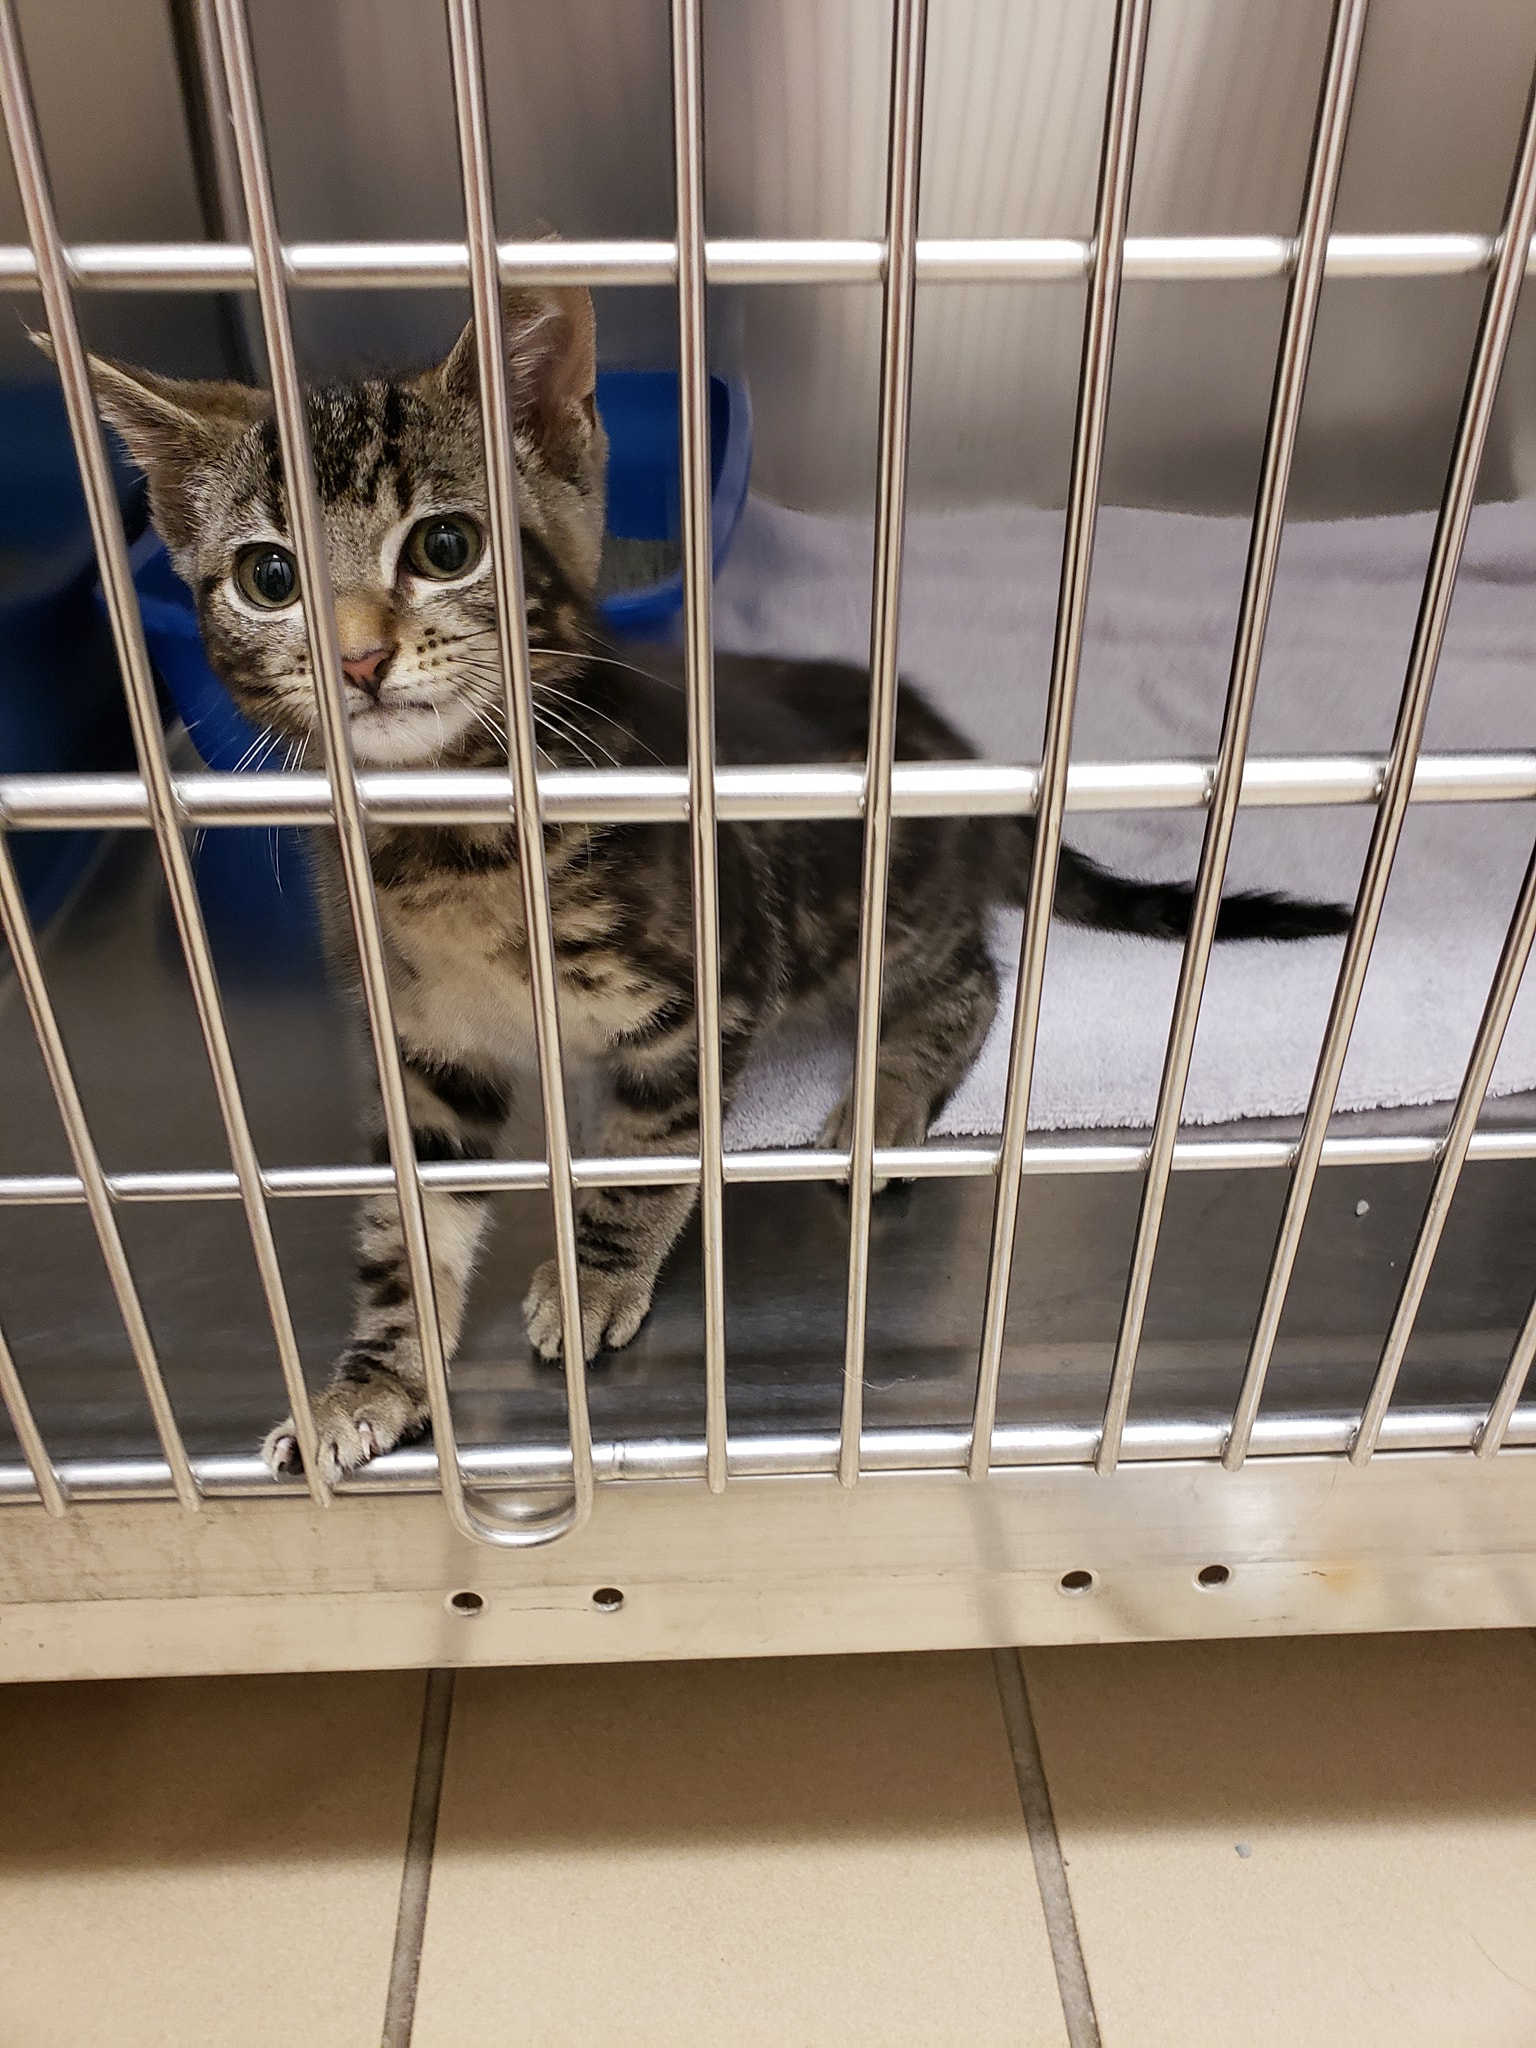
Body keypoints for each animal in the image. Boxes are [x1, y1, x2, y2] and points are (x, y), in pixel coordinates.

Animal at [62, 284, 1349, 1483]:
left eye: (444, 547)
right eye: (268, 576)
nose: (357, 657)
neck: (456, 835)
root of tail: (951, 753)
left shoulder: (701, 995)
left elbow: (645, 1164)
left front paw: (594, 1280)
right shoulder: (427, 1048)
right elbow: (406, 1218)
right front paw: (372, 1378)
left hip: (878, 909)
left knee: (974, 981)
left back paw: (880, 1102)